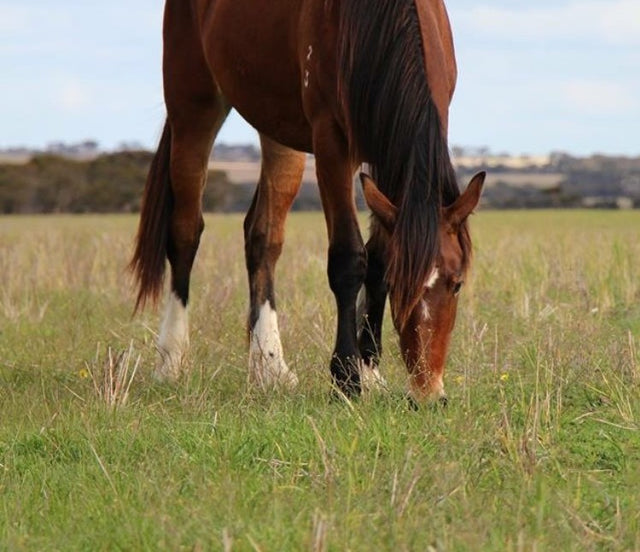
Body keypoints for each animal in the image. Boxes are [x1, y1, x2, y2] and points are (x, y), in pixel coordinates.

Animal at [132, 0, 488, 404]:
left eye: (457, 283)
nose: (427, 393)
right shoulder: (332, 143)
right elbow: (349, 260)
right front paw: (346, 378)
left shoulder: (387, 147)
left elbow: (379, 257)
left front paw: (370, 371)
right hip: (193, 108)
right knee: (185, 233)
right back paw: (171, 361)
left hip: (276, 128)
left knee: (262, 237)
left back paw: (269, 367)